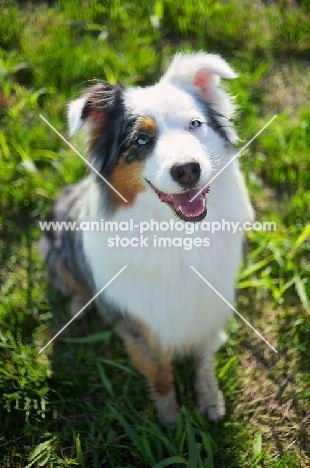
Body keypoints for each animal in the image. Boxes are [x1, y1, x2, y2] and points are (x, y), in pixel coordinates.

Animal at [40, 52, 253, 424]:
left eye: (195, 124)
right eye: (141, 140)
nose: (188, 170)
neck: (176, 235)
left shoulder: (209, 305)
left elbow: (204, 361)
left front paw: (210, 402)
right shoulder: (137, 322)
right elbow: (160, 373)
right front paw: (171, 420)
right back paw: (80, 305)